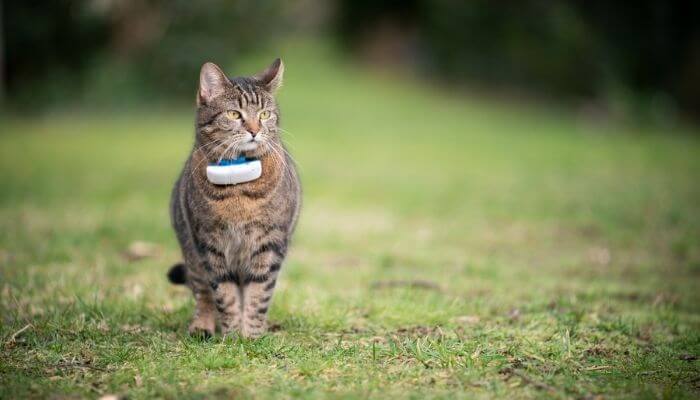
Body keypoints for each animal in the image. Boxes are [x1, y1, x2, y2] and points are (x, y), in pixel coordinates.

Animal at [170, 59, 304, 340]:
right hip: (191, 251)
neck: (239, 191)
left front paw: (252, 336)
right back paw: (202, 326)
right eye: (234, 114)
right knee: (202, 293)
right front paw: (232, 336)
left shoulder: (270, 242)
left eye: (264, 114)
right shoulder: (210, 243)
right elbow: (225, 294)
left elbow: (258, 294)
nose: (254, 130)